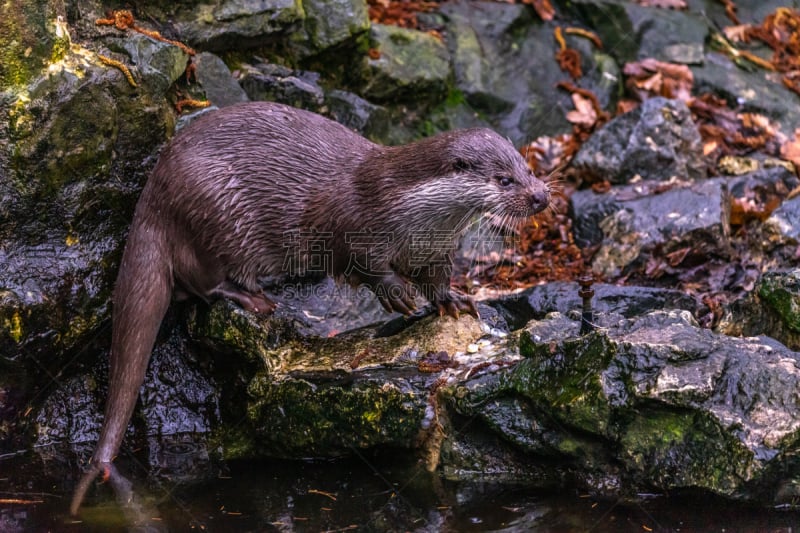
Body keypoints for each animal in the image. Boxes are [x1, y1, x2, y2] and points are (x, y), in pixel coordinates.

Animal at [70, 100, 552, 512]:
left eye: (527, 168)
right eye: (504, 180)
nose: (541, 196)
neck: (410, 212)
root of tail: (153, 192)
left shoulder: (434, 251)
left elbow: (436, 281)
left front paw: (453, 299)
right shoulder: (355, 224)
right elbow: (363, 264)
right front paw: (396, 293)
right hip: (218, 210)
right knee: (202, 283)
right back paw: (255, 299)